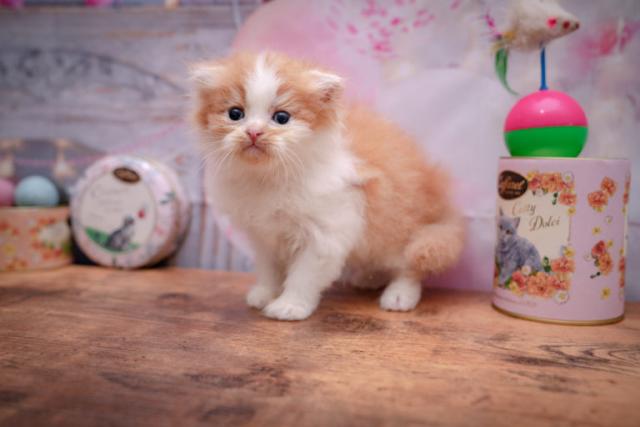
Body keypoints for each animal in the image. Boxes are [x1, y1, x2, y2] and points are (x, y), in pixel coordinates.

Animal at [190, 52, 464, 320]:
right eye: (235, 114)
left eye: (281, 118)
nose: (254, 132)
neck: (269, 176)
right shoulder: (265, 236)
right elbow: (269, 270)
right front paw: (265, 294)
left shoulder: (325, 234)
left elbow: (303, 276)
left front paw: (290, 306)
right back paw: (367, 280)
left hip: (399, 231)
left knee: (410, 264)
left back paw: (399, 296)